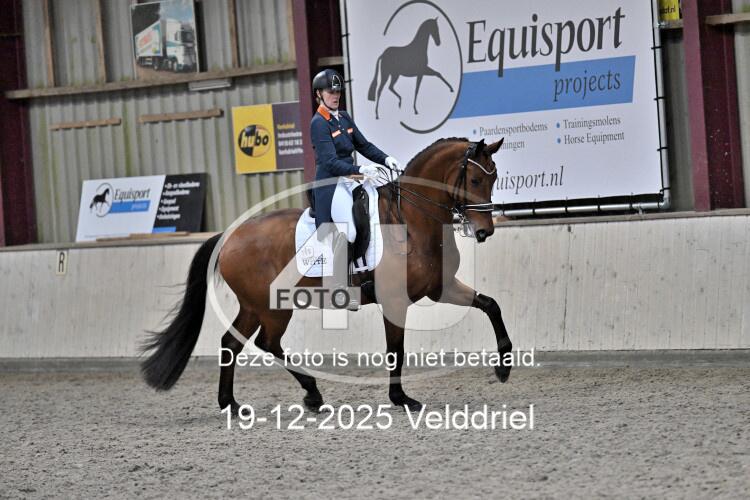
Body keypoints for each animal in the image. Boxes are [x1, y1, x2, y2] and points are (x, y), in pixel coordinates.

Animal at [141, 137, 512, 414]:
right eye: (475, 180)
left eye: (493, 179)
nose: (485, 231)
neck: (411, 220)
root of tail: (230, 236)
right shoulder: (395, 300)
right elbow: (396, 350)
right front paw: (401, 399)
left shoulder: (440, 288)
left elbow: (491, 304)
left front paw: (504, 366)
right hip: (272, 308)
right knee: (267, 343)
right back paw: (311, 393)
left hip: (253, 306)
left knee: (231, 343)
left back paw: (231, 403)